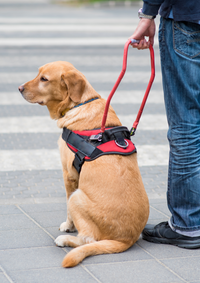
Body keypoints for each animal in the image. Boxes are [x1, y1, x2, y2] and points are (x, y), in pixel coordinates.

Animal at [18, 61, 149, 268]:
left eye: (44, 79)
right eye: (38, 74)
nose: (19, 88)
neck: (79, 103)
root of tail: (125, 240)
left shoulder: (69, 175)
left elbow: (68, 212)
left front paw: (68, 227)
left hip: (77, 198)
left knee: (88, 239)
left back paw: (65, 240)